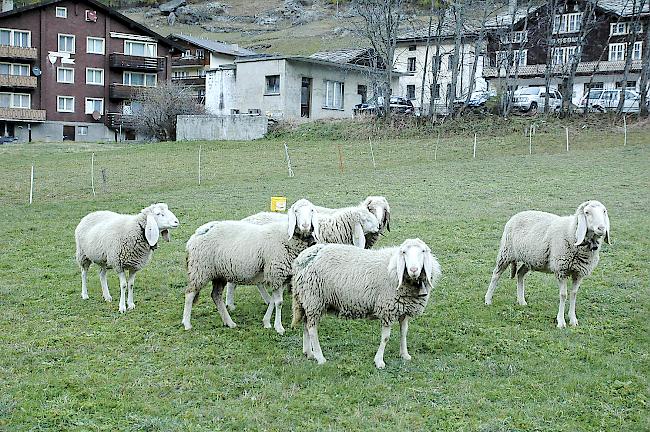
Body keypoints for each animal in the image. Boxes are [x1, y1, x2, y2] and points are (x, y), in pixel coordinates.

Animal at [181, 197, 318, 332]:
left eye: (312, 210)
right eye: (296, 211)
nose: (305, 226)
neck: (287, 237)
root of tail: (197, 233)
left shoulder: (282, 276)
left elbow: (273, 300)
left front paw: (266, 322)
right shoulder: (276, 273)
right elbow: (278, 302)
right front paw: (278, 327)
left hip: (218, 273)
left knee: (216, 296)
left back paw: (229, 322)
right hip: (200, 270)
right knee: (190, 294)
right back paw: (187, 323)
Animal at [290, 240, 438, 368]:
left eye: (423, 251)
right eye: (404, 252)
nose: (413, 269)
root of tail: (303, 257)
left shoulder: (403, 310)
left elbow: (404, 332)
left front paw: (404, 354)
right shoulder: (387, 309)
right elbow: (386, 338)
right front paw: (379, 361)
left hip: (307, 301)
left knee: (306, 325)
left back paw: (309, 353)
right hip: (314, 298)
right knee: (312, 329)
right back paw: (320, 357)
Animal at [484, 201, 612, 330]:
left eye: (604, 211)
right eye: (587, 212)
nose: (601, 228)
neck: (572, 232)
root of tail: (517, 214)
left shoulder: (579, 273)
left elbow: (573, 294)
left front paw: (573, 319)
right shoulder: (561, 270)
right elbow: (563, 295)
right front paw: (561, 322)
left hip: (530, 259)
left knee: (520, 274)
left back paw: (521, 301)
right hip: (506, 252)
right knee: (496, 274)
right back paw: (488, 299)